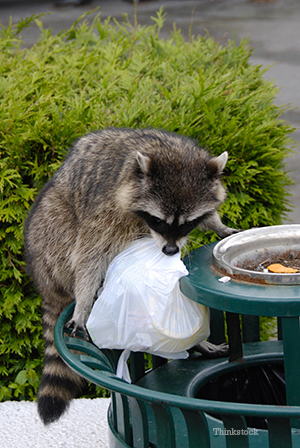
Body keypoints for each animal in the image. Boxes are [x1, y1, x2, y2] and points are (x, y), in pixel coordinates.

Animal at [24, 126, 237, 424]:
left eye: (188, 223)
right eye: (158, 220)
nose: (170, 250)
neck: (171, 152)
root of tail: (44, 282)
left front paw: (217, 224)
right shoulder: (105, 207)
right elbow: (89, 255)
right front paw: (83, 301)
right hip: (49, 234)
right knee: (67, 231)